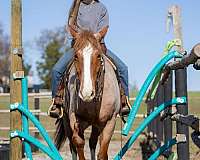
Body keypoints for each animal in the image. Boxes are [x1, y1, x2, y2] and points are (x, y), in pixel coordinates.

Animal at [54, 25, 120, 159]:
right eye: (75, 56)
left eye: (99, 55)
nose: (86, 94)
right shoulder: (75, 119)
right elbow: (78, 142)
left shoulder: (110, 122)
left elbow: (102, 153)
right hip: (67, 122)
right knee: (73, 145)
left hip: (96, 125)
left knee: (93, 142)